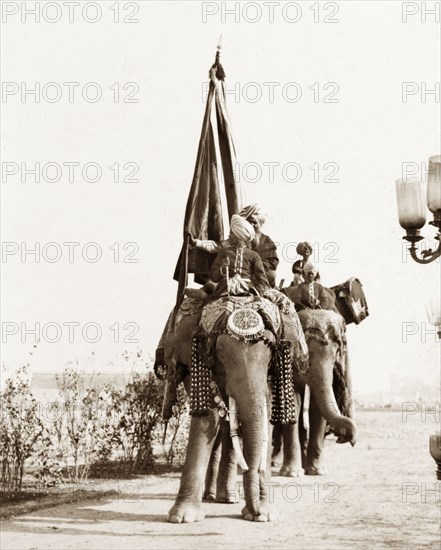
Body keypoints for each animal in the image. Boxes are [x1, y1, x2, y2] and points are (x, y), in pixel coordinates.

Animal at [272, 306, 354, 478]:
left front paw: (318, 472)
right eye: (305, 352)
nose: (351, 440)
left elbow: (317, 408)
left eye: (337, 349)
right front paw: (291, 474)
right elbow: (293, 404)